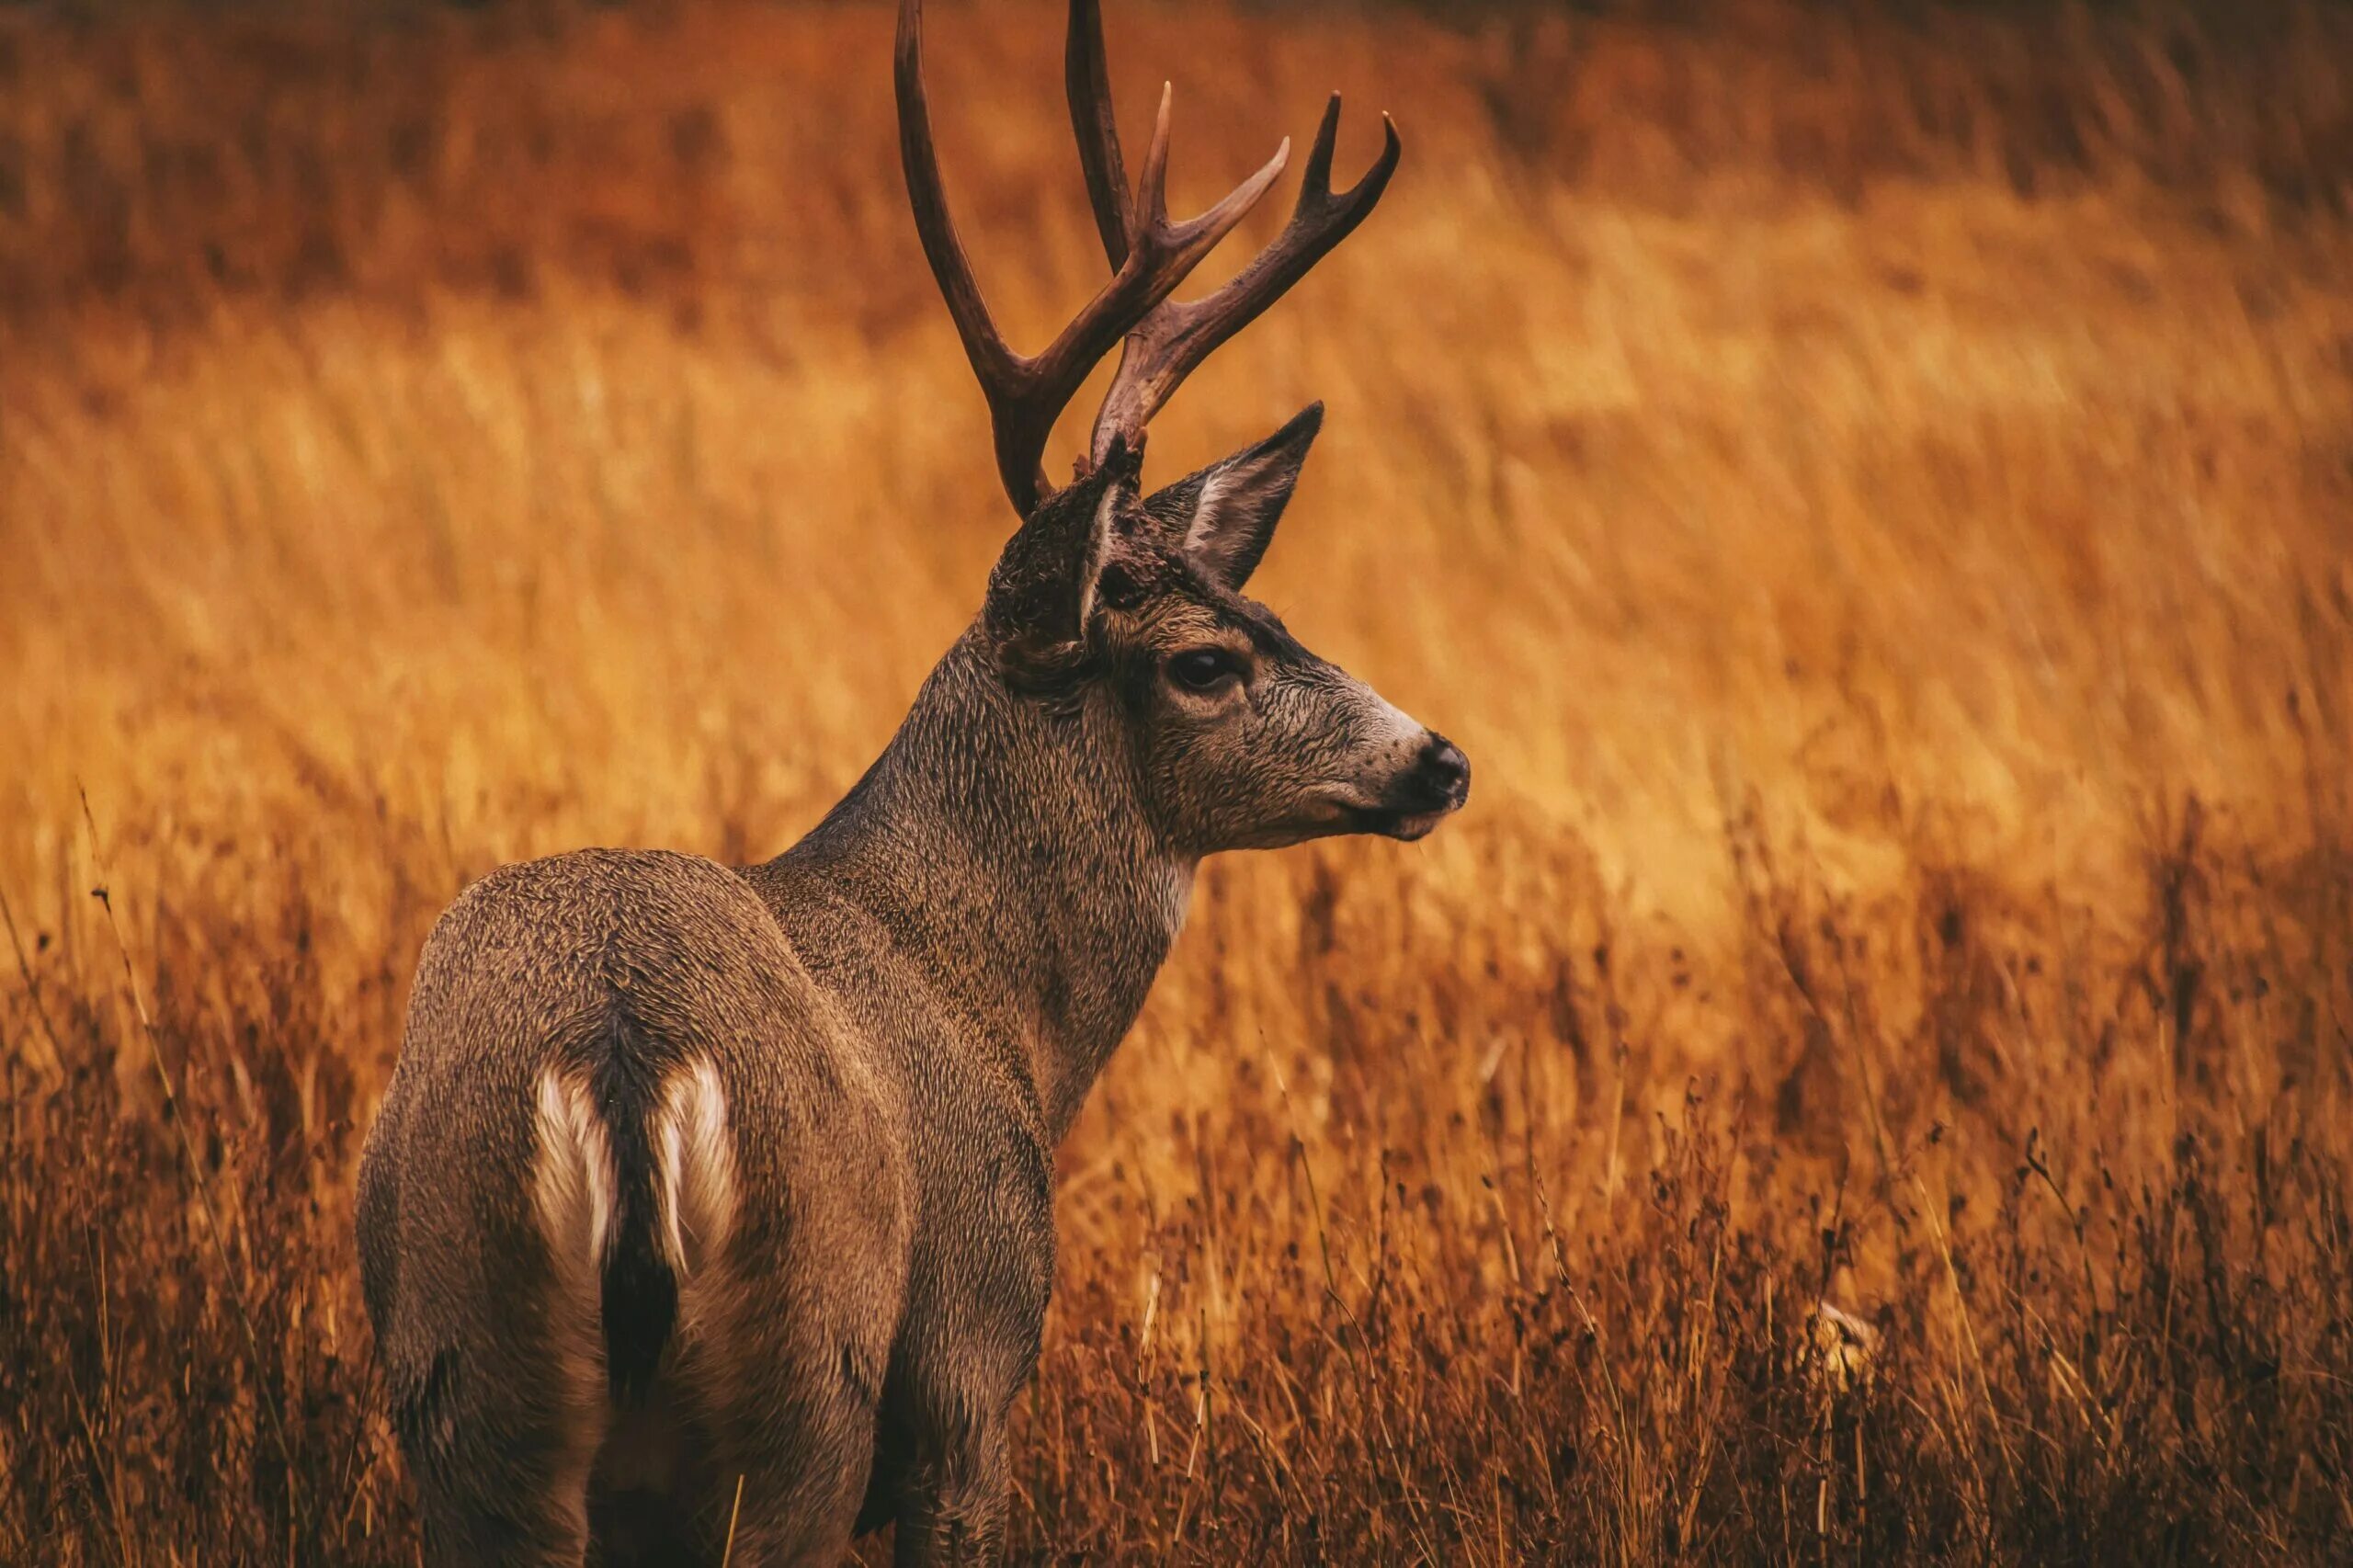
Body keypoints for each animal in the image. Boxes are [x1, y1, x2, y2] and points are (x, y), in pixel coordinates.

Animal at [355, 6, 1459, 1553]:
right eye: (1203, 659)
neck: (993, 999)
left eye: (1272, 608)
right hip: (809, 1378)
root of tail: (625, 1051)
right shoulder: (973, 1364)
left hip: (465, 1379)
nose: (1438, 759)